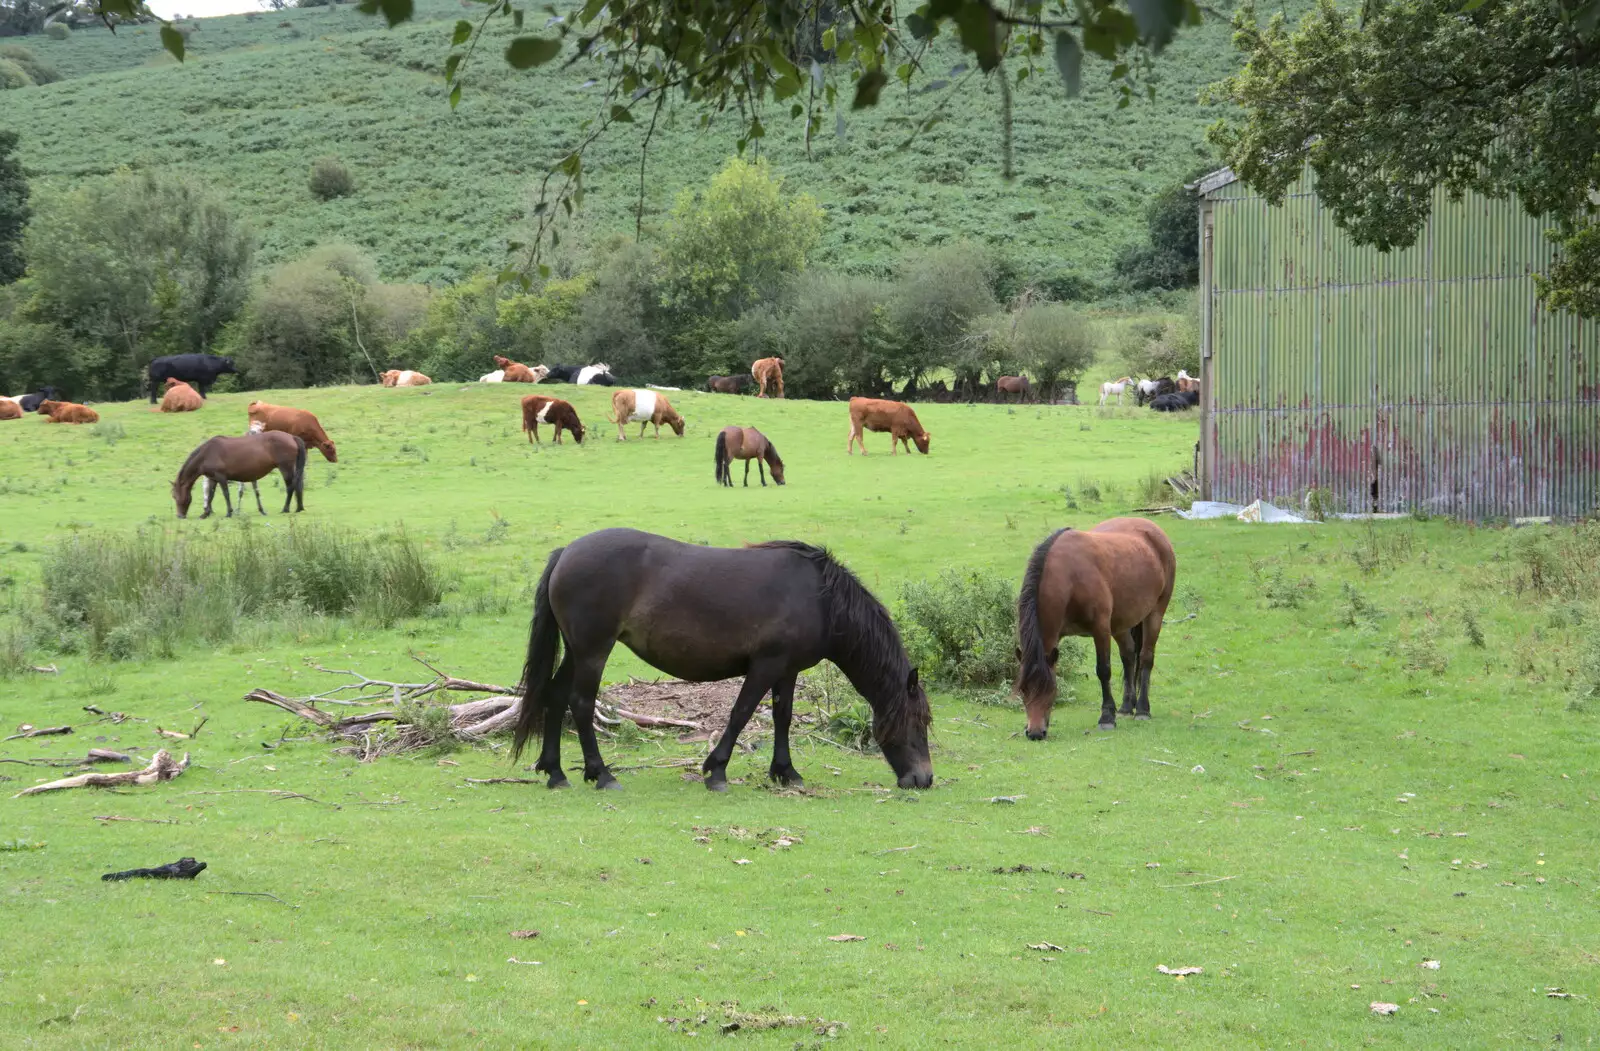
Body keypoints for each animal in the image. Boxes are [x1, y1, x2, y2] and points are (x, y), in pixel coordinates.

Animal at [172, 431, 305, 521]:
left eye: (174, 496)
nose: (179, 516)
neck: (207, 453)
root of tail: (291, 437)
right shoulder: (213, 478)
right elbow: (210, 495)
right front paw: (205, 513)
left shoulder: (221, 477)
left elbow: (226, 494)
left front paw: (229, 512)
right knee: (298, 485)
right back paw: (299, 508)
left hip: (285, 468)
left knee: (290, 487)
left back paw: (285, 508)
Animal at [512, 527, 934, 790]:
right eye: (918, 722)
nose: (924, 779)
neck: (820, 599)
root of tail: (566, 552)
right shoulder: (765, 665)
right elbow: (741, 713)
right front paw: (716, 771)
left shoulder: (787, 670)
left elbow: (782, 717)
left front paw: (786, 772)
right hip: (594, 650)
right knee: (581, 703)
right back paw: (602, 775)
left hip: (577, 650)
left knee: (555, 695)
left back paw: (555, 772)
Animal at [1011, 518, 1177, 739]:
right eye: (1023, 690)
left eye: (1051, 689)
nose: (1035, 733)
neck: (1070, 577)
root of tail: (1155, 531)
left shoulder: (1100, 630)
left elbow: (1103, 670)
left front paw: (1107, 717)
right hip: (1121, 623)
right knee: (1128, 655)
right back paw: (1126, 707)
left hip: (1155, 614)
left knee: (1145, 658)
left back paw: (1142, 709)